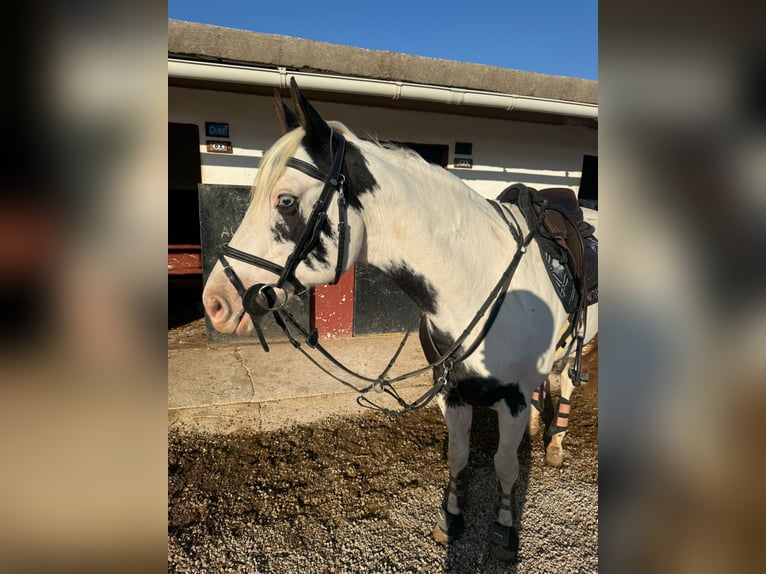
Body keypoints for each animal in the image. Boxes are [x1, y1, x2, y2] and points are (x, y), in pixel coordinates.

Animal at [202, 79, 597, 563]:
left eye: (287, 201)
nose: (215, 302)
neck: (476, 277)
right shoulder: (452, 391)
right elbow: (458, 456)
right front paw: (450, 520)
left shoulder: (513, 397)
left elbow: (505, 465)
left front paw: (505, 530)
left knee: (568, 382)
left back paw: (555, 445)